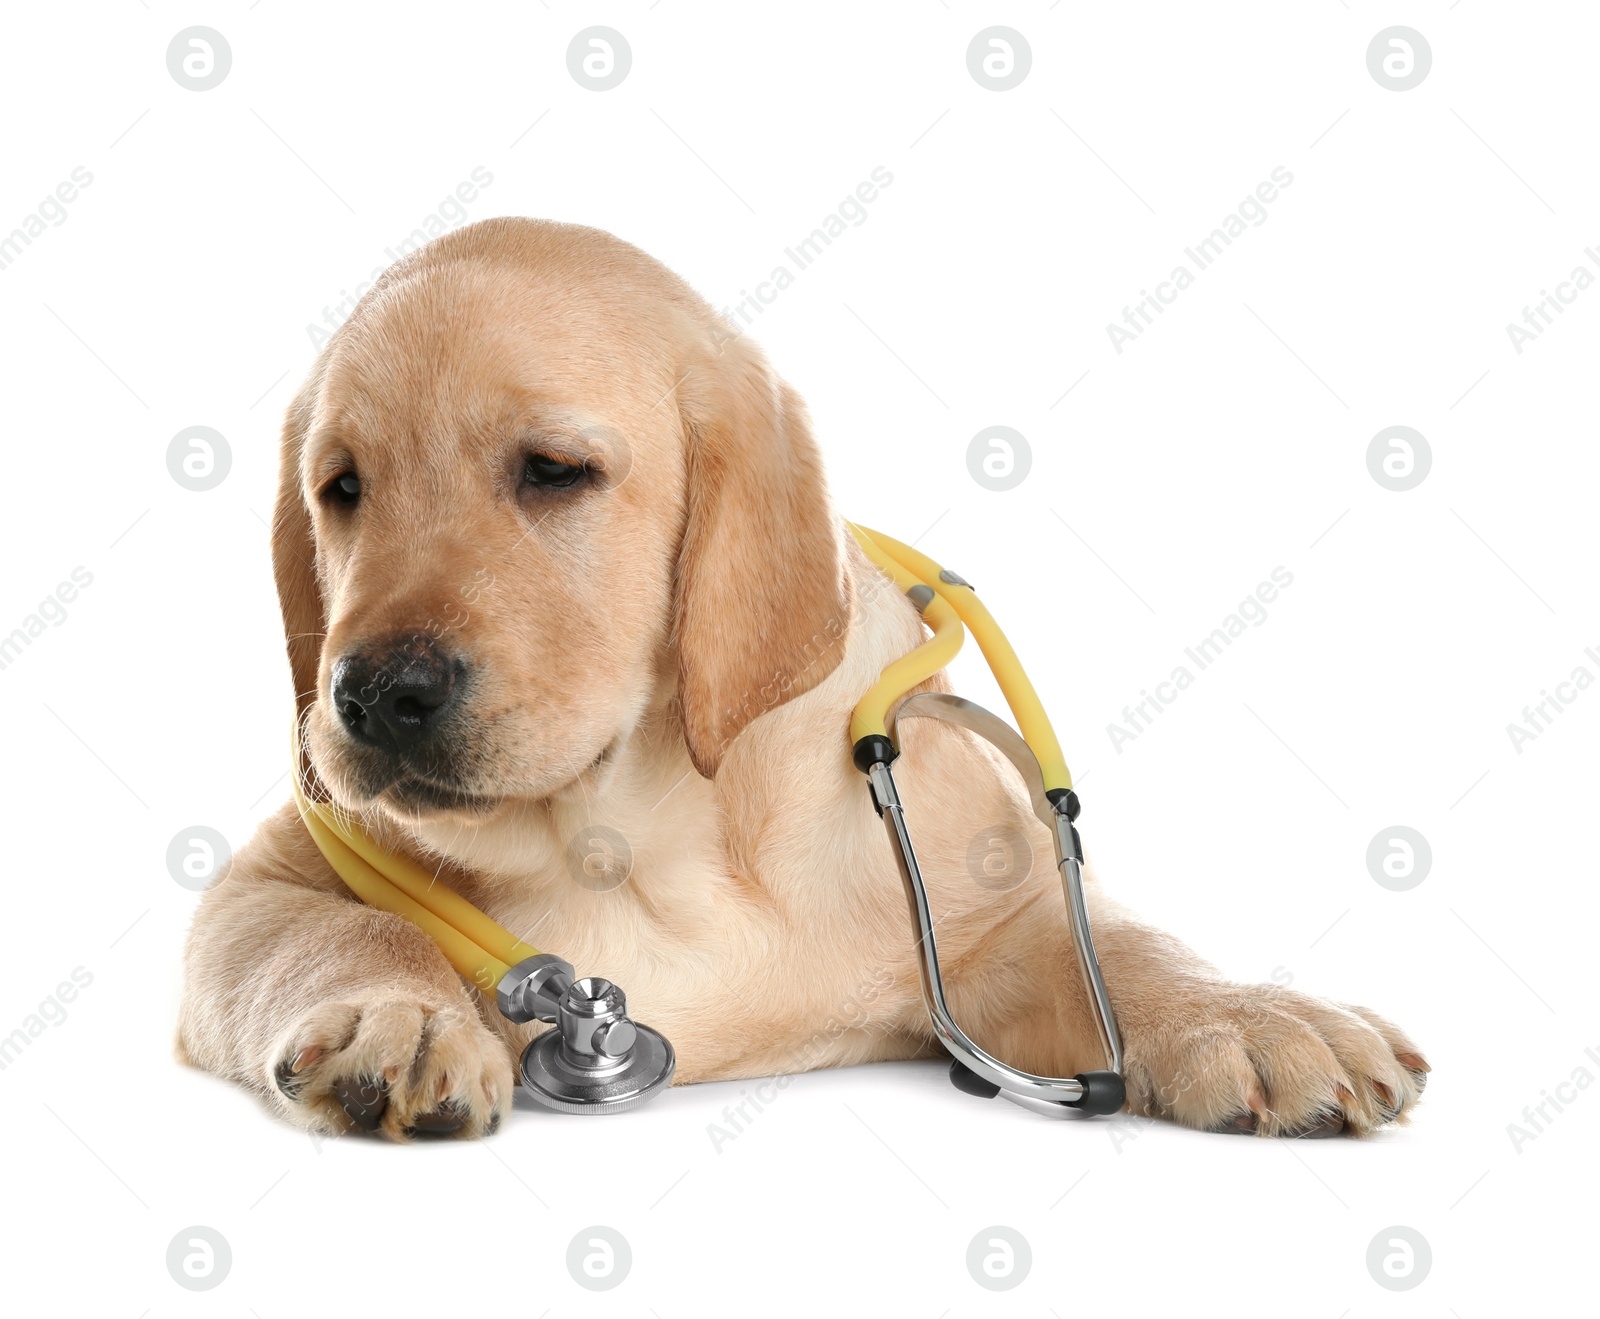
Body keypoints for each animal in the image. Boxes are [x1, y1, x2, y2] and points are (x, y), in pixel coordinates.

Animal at [175, 216, 1427, 1133]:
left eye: (554, 470)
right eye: (342, 487)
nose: (370, 695)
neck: (634, 834)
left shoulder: (1003, 910)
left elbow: (1120, 946)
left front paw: (1253, 1013)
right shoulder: (262, 882)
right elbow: (341, 931)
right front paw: (402, 1017)